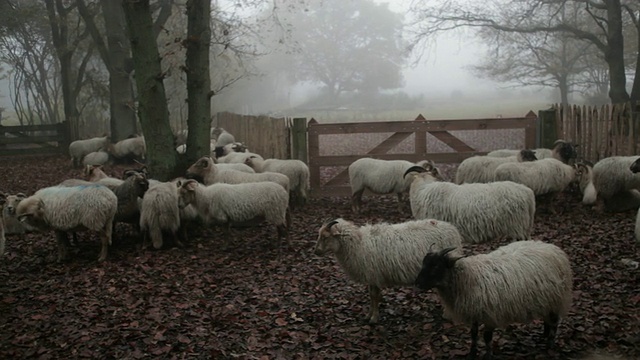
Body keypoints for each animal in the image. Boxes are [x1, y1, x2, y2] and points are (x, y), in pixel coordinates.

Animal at [314, 217, 460, 324]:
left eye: (326, 237)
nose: (316, 252)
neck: (358, 243)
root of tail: (452, 229)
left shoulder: (374, 274)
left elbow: (374, 295)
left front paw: (374, 318)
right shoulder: (371, 276)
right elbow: (371, 295)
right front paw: (368, 315)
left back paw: (447, 314)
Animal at [416, 239, 576, 360]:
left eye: (436, 266)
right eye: (423, 263)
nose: (417, 284)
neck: (470, 278)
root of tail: (552, 247)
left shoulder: (491, 314)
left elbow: (487, 337)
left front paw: (488, 355)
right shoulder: (474, 312)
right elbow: (473, 334)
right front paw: (472, 353)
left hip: (556, 298)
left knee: (554, 321)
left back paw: (550, 344)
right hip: (546, 300)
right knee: (547, 319)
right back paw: (544, 335)